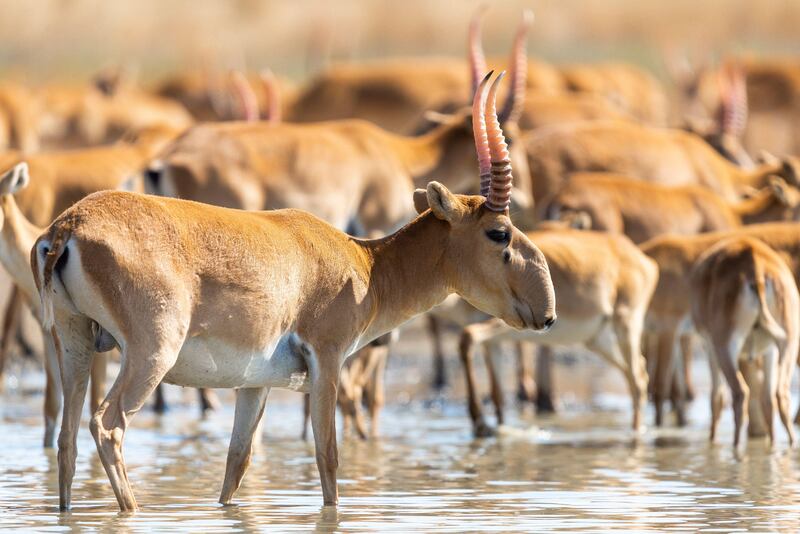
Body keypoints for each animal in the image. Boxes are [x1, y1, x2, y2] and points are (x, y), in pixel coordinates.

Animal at [32, 72, 556, 516]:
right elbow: (328, 455)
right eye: (499, 232)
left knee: (67, 437)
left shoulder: (254, 383)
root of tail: (69, 226)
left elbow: (237, 464)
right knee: (108, 425)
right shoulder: (327, 361)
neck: (364, 265)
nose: (546, 314)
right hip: (150, 354)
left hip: (76, 346)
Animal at [456, 228, 656, 438]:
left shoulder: (506, 324)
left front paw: (479, 422)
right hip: (598, 341)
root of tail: (645, 260)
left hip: (626, 327)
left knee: (638, 379)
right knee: (638, 373)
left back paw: (636, 434)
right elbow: (498, 394)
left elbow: (467, 336)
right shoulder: (493, 342)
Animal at [688, 237, 800, 450]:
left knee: (740, 393)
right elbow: (767, 400)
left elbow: (716, 397)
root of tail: (756, 266)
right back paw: (782, 445)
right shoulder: (769, 350)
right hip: (788, 343)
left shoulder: (709, 347)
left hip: (725, 346)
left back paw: (735, 446)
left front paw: (712, 439)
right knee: (780, 394)